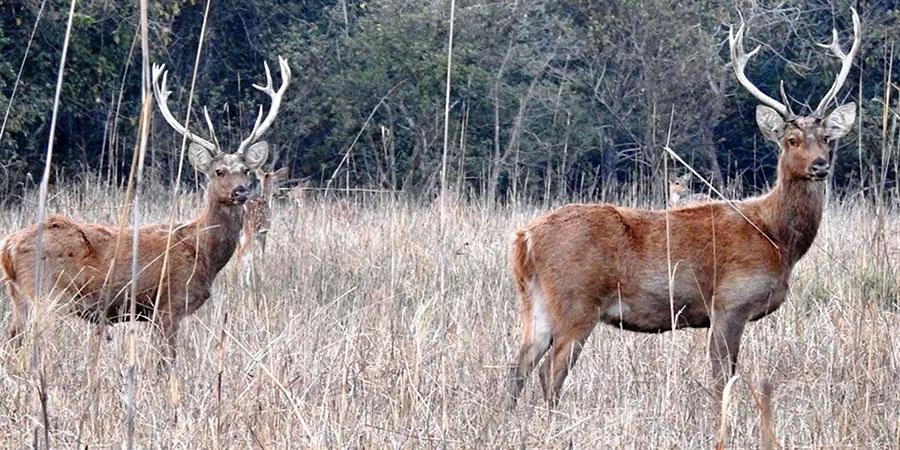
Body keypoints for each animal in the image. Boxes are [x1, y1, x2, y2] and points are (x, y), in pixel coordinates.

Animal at [1, 57, 290, 366]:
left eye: (246, 170)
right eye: (218, 171)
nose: (240, 192)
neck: (202, 249)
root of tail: (8, 247)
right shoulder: (169, 304)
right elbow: (166, 362)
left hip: (19, 297)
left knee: (11, 343)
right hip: (46, 295)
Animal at [502, 11, 860, 408]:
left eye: (827, 138)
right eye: (792, 140)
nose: (820, 165)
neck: (776, 238)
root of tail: (525, 238)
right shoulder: (730, 302)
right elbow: (722, 378)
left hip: (535, 301)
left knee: (518, 367)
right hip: (576, 299)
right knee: (551, 373)